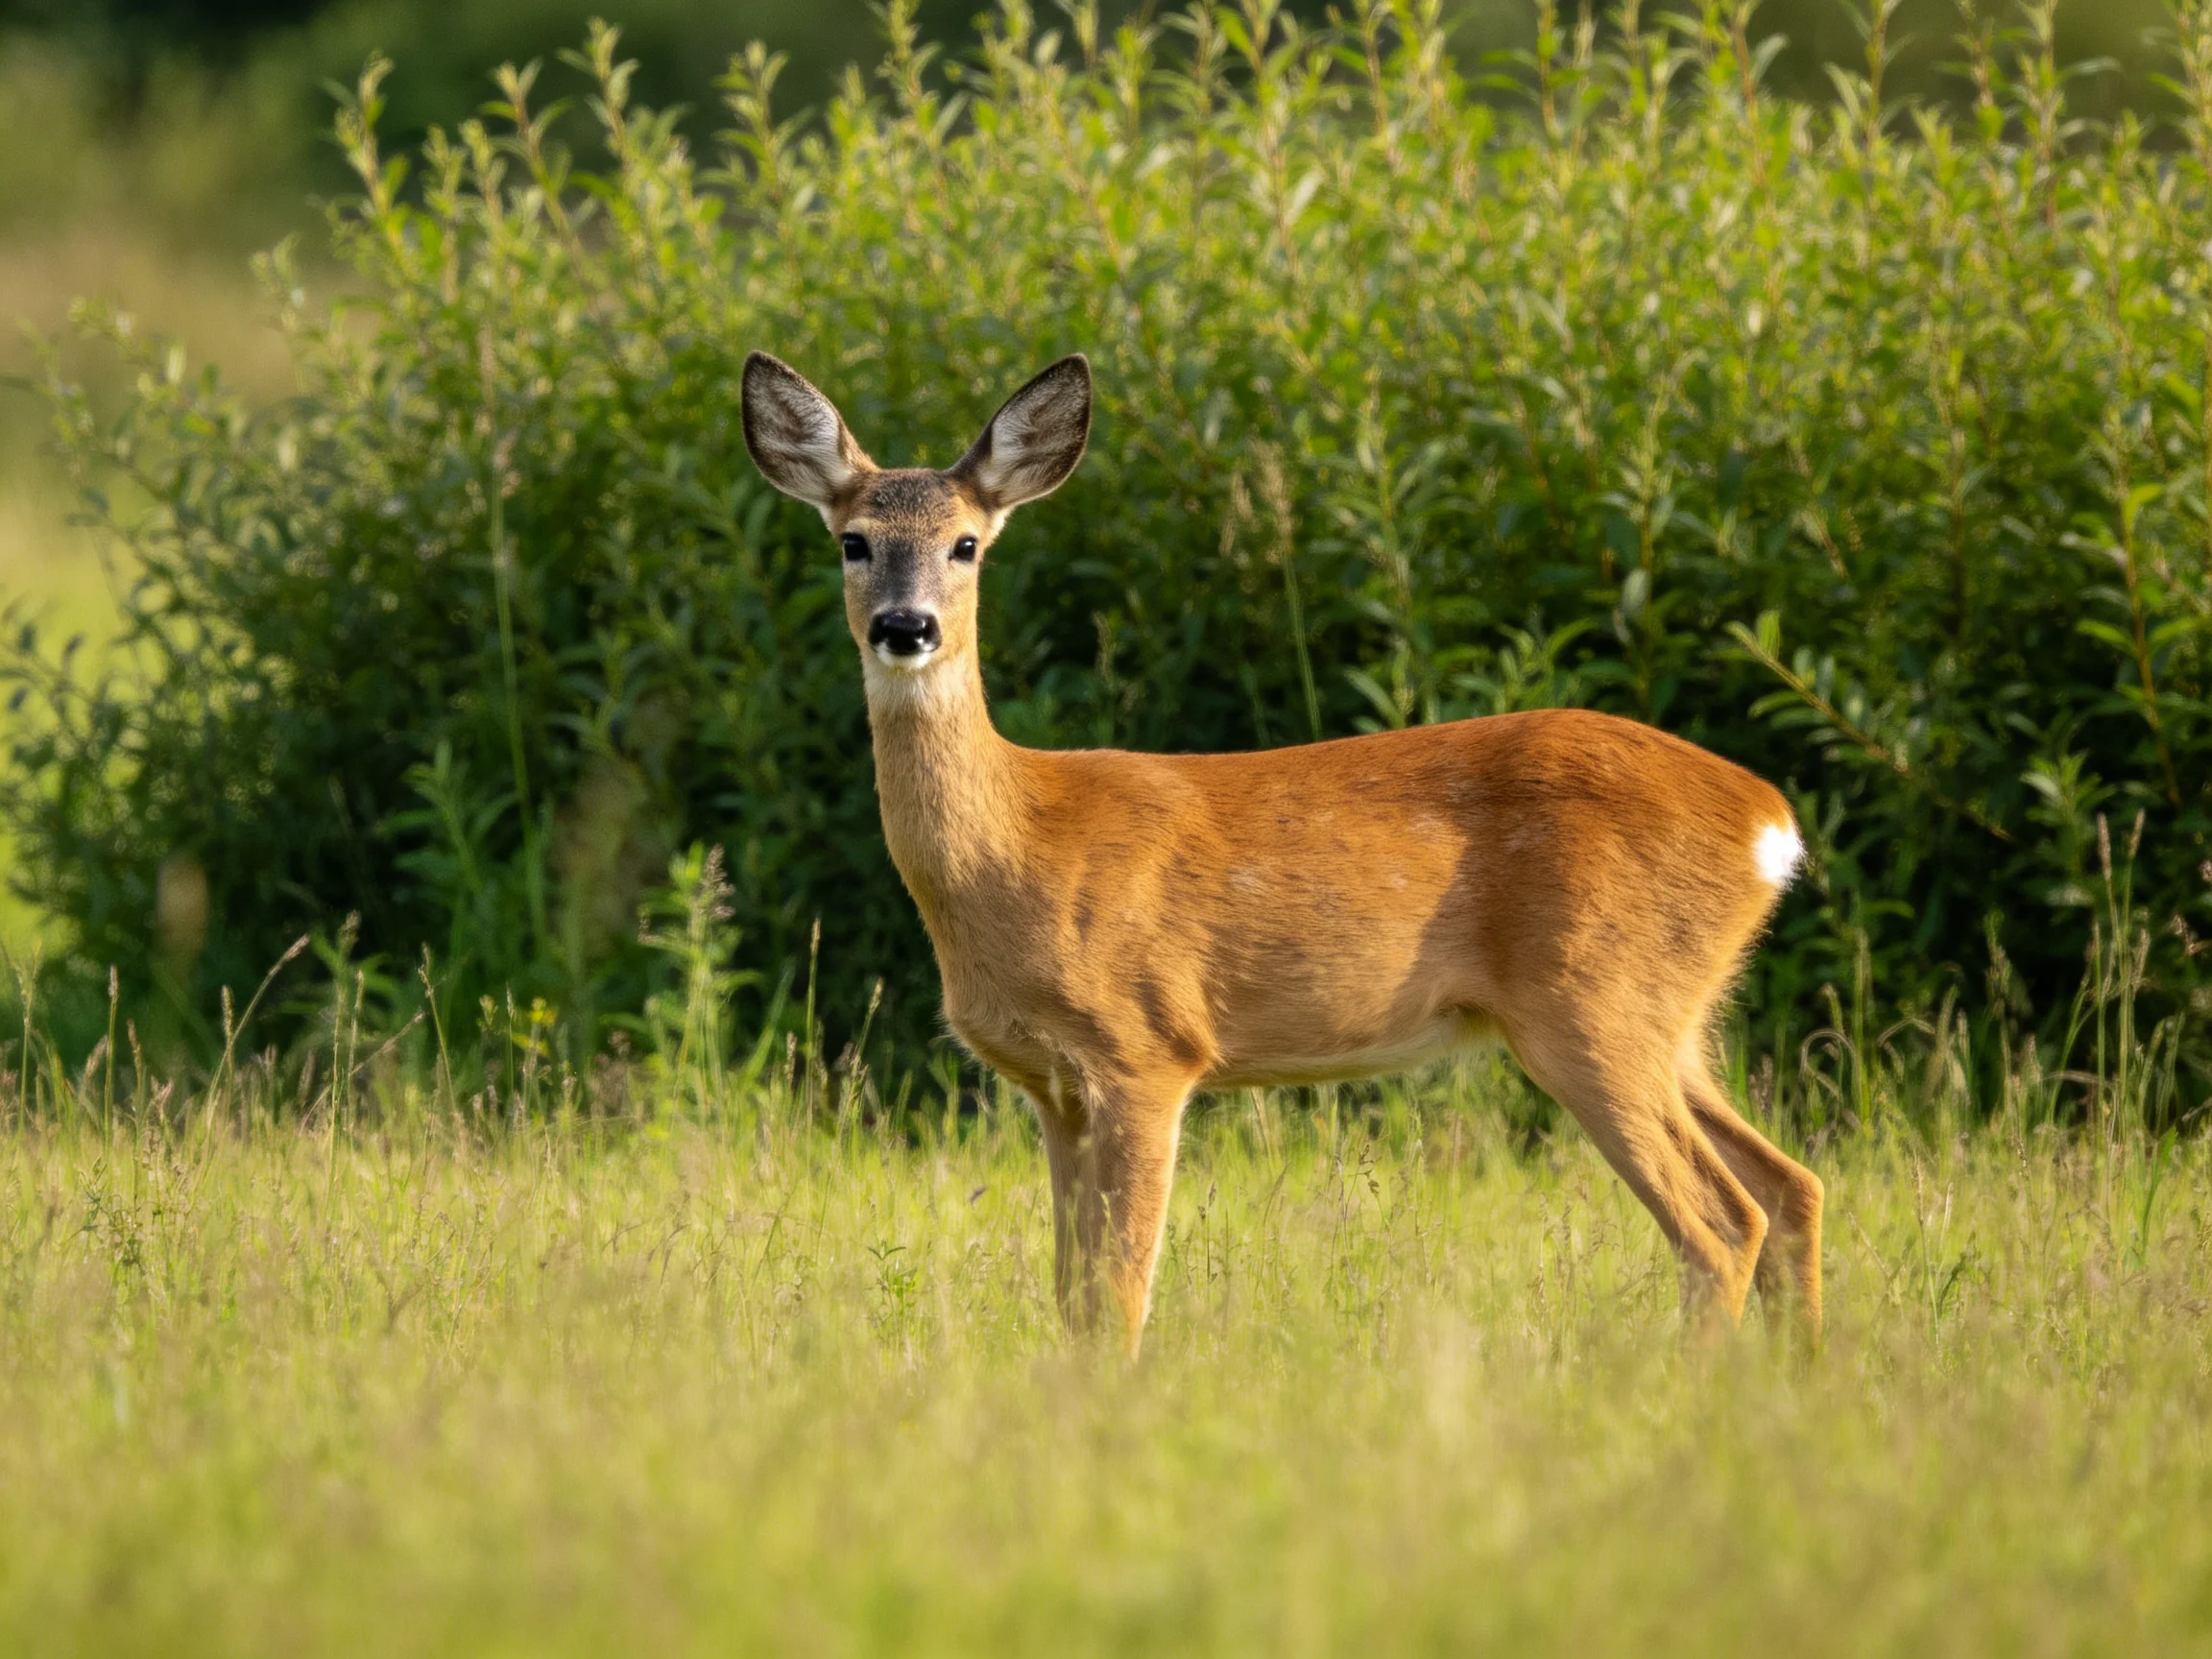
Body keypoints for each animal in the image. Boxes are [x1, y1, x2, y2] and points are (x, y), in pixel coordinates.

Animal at [740, 349, 1823, 1357]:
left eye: (966, 543)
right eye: (853, 541)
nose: (906, 626)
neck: (1018, 847)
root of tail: (1770, 821)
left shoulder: (1146, 1047)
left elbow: (1119, 1296)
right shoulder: (1052, 1087)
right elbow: (1073, 1299)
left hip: (1591, 1001)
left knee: (1723, 1222)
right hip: (1672, 1016)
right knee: (1791, 1187)